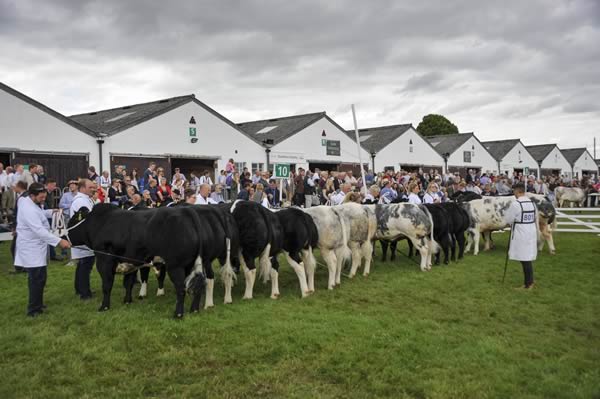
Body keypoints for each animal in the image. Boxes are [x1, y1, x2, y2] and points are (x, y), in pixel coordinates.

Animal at [64, 205, 210, 318]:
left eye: (72, 221)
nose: (63, 237)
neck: (101, 223)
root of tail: (186, 211)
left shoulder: (104, 260)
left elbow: (107, 285)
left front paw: (104, 307)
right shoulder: (130, 261)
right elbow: (128, 283)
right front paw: (127, 301)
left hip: (176, 265)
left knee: (181, 288)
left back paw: (178, 314)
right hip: (190, 264)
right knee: (198, 284)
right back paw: (194, 310)